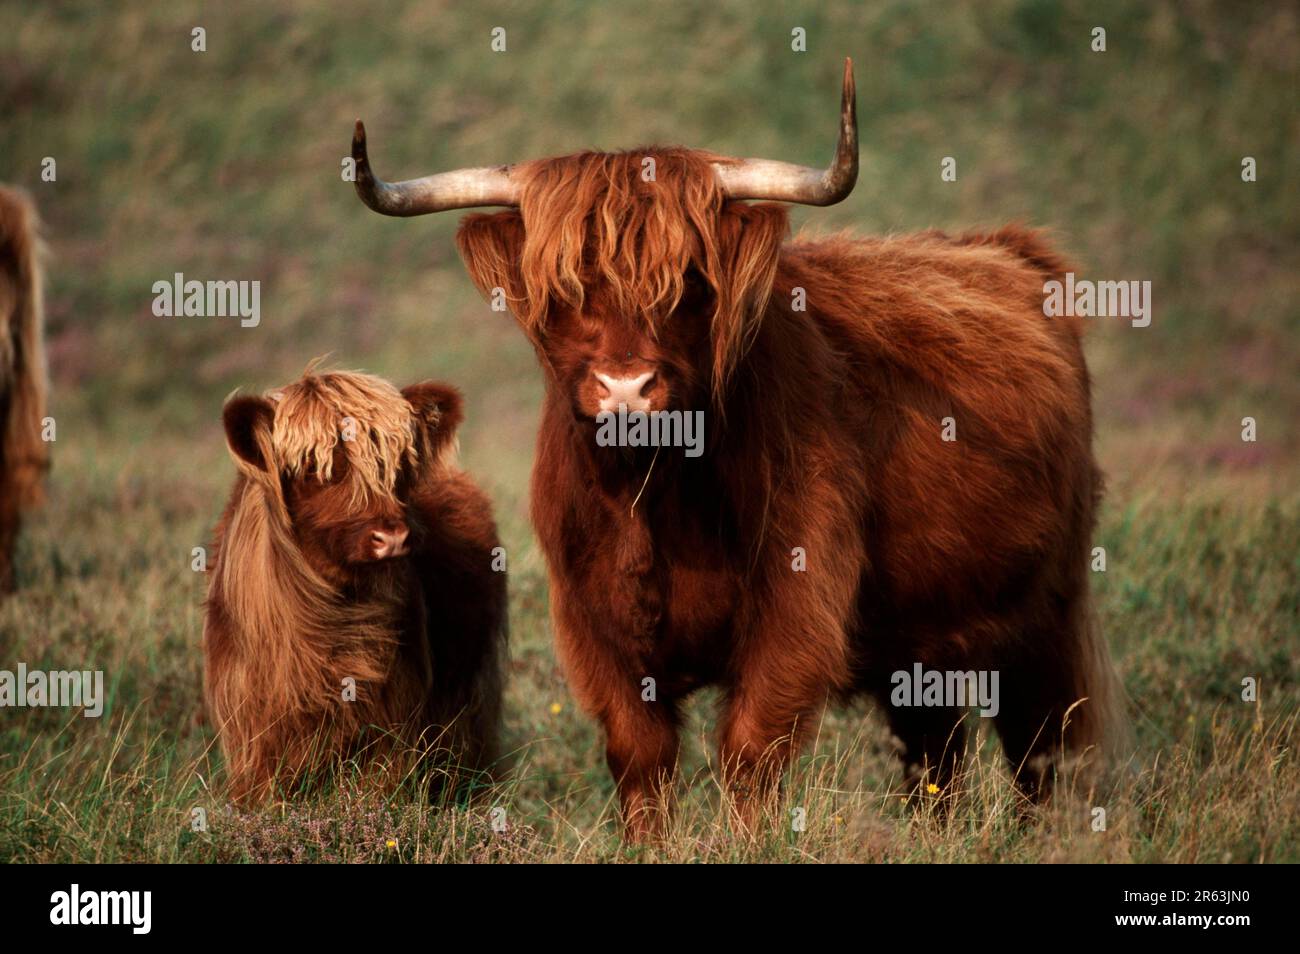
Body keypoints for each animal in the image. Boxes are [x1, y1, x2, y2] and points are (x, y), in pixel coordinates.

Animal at [351, 59, 1126, 838]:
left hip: (1047, 607)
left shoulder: (796, 611)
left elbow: (751, 750)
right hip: (922, 641)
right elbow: (640, 756)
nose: (626, 387)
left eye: (691, 280)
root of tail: (1010, 249)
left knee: (1045, 744)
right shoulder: (593, 626)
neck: (652, 500)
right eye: (563, 287)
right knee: (936, 754)